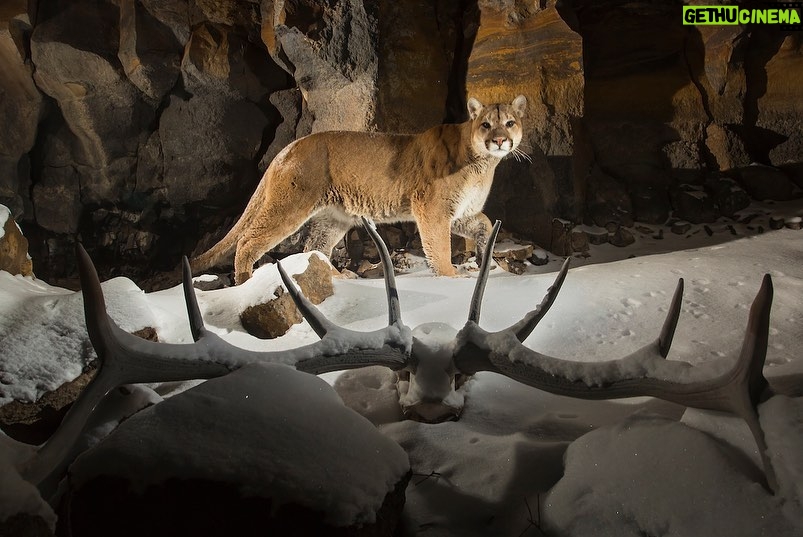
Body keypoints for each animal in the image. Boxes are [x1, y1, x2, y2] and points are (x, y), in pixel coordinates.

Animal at [190, 94, 528, 282]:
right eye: (486, 124)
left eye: (510, 123)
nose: (500, 140)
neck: (482, 162)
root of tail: (289, 147)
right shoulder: (432, 209)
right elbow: (440, 248)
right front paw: (450, 278)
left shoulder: (460, 212)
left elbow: (485, 224)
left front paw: (487, 256)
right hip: (291, 203)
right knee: (248, 240)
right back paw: (244, 283)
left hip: (332, 218)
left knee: (314, 247)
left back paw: (339, 277)